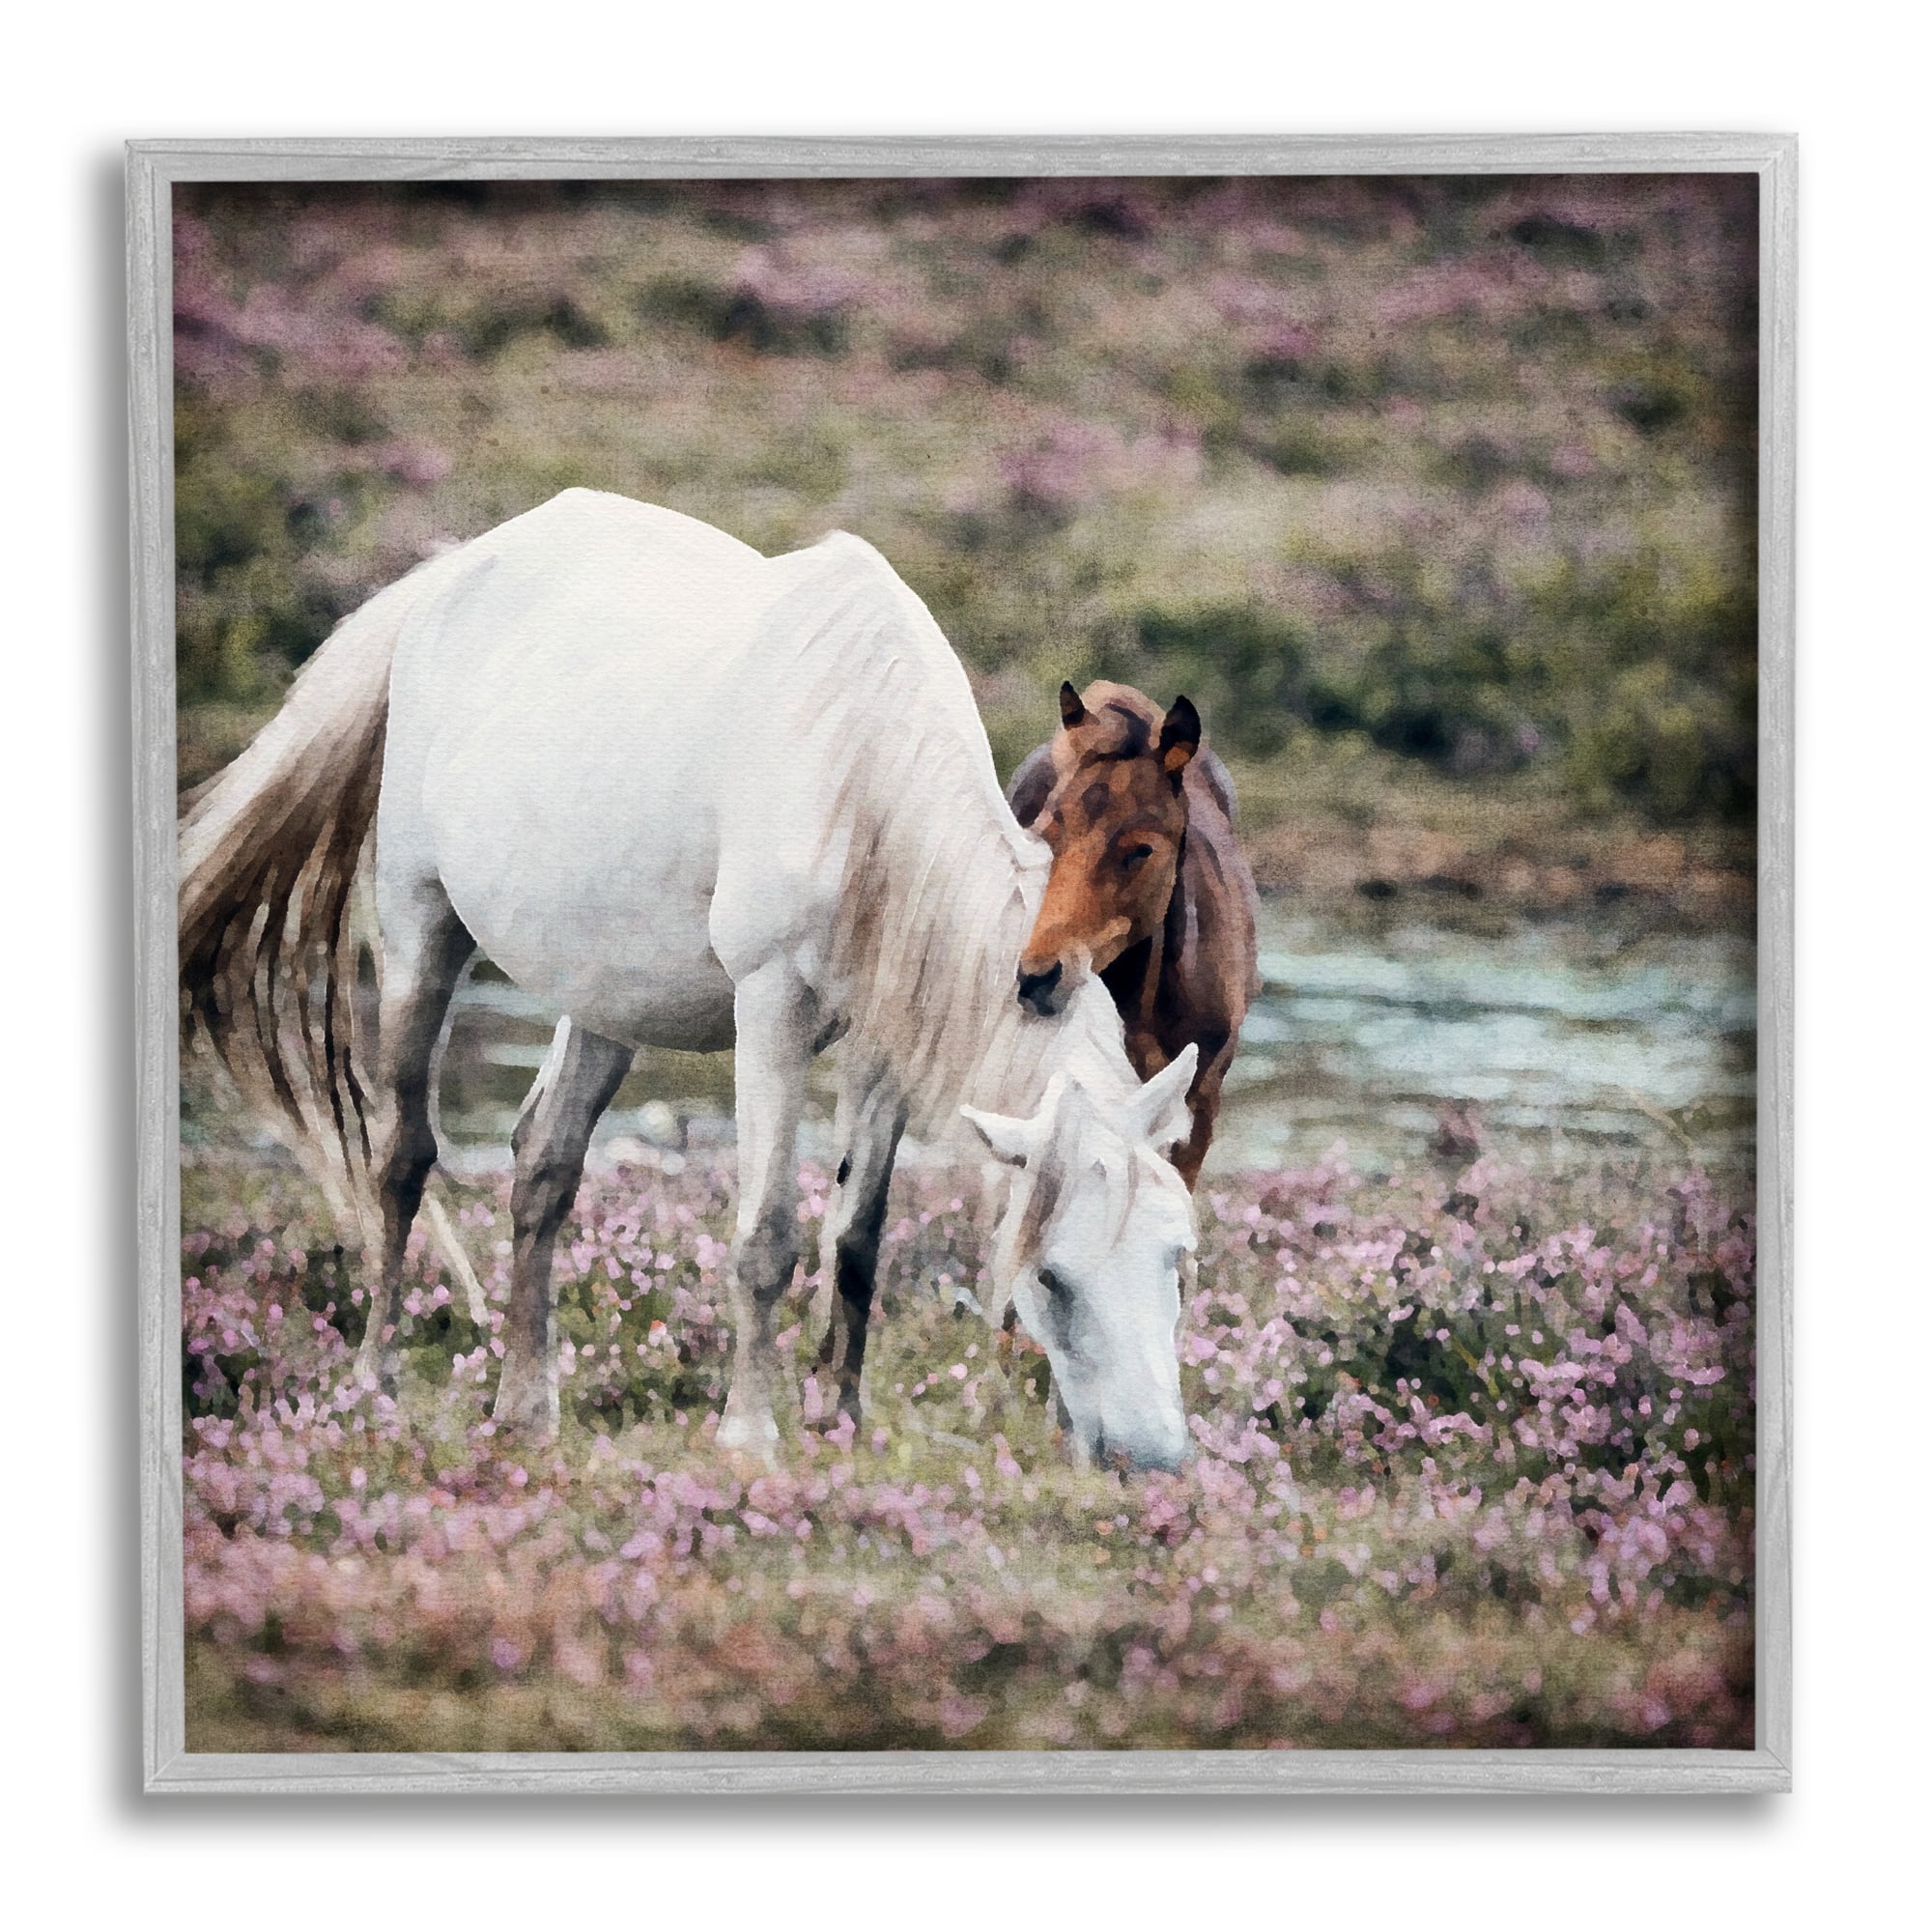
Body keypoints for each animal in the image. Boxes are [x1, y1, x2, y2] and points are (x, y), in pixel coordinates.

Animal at [179, 490, 1200, 1471]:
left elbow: (857, 1239)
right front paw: (751, 1434)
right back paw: (375, 1385)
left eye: (1177, 1257)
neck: (859, 774)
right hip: (419, 928)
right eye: (1052, 1278)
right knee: (401, 1160)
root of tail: (449, 575)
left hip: (606, 994)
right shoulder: (772, 1009)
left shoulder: (885, 1040)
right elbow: (767, 1236)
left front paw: (845, 1422)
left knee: (542, 1163)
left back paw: (525, 1409)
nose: (1152, 1458)